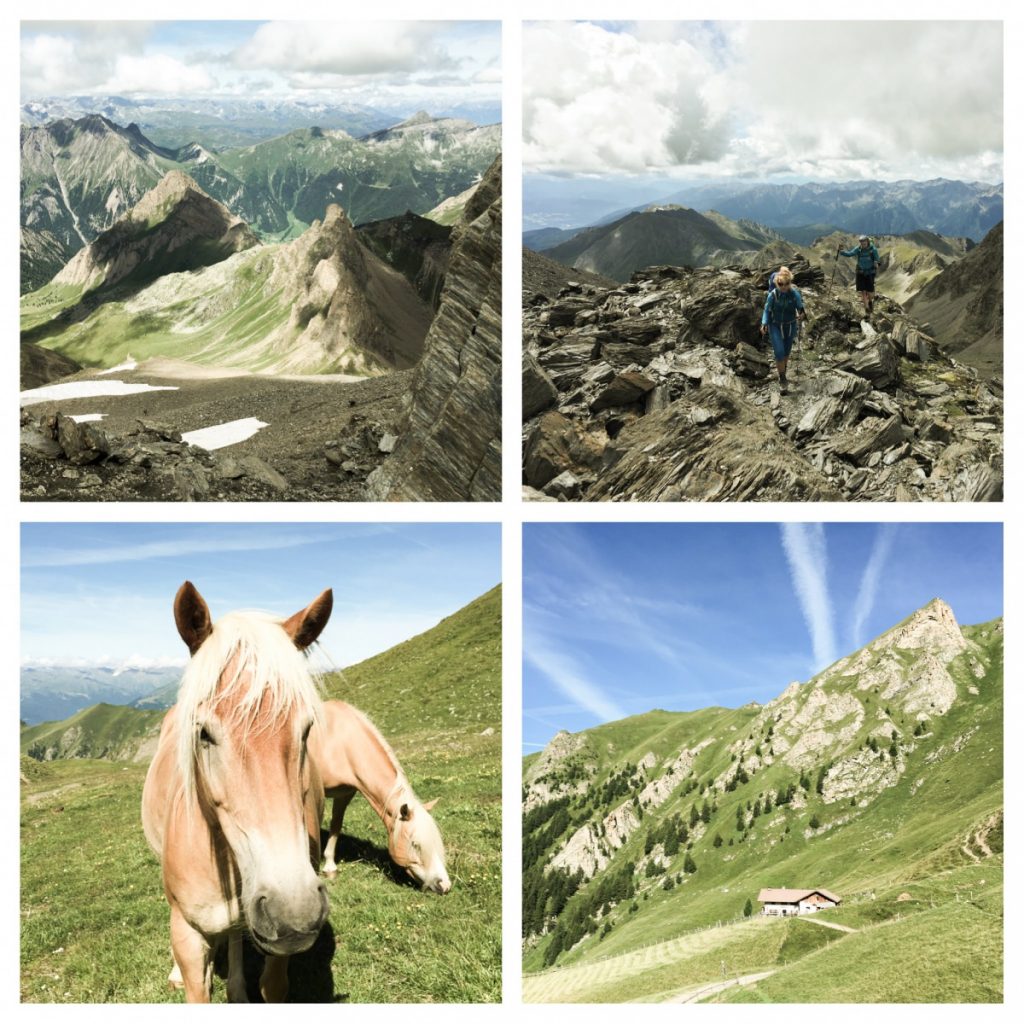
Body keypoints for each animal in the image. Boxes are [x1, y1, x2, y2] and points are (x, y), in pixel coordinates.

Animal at [309, 700, 450, 892]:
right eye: (415, 844)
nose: (445, 885)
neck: (339, 742)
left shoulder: (345, 793)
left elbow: (336, 824)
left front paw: (330, 867)